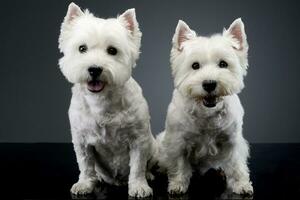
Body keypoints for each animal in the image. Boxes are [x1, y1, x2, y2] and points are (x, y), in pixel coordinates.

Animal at [59, 2, 157, 198]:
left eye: (112, 50)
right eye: (82, 48)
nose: (94, 69)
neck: (101, 101)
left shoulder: (139, 139)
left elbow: (137, 166)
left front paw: (139, 186)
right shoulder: (81, 140)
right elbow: (85, 165)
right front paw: (84, 184)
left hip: (154, 146)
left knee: (148, 164)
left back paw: (148, 175)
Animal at [157, 18, 253, 196]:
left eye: (223, 64)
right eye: (195, 66)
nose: (209, 84)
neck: (207, 113)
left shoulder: (232, 141)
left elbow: (236, 165)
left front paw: (242, 185)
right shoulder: (178, 142)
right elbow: (179, 164)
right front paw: (177, 185)